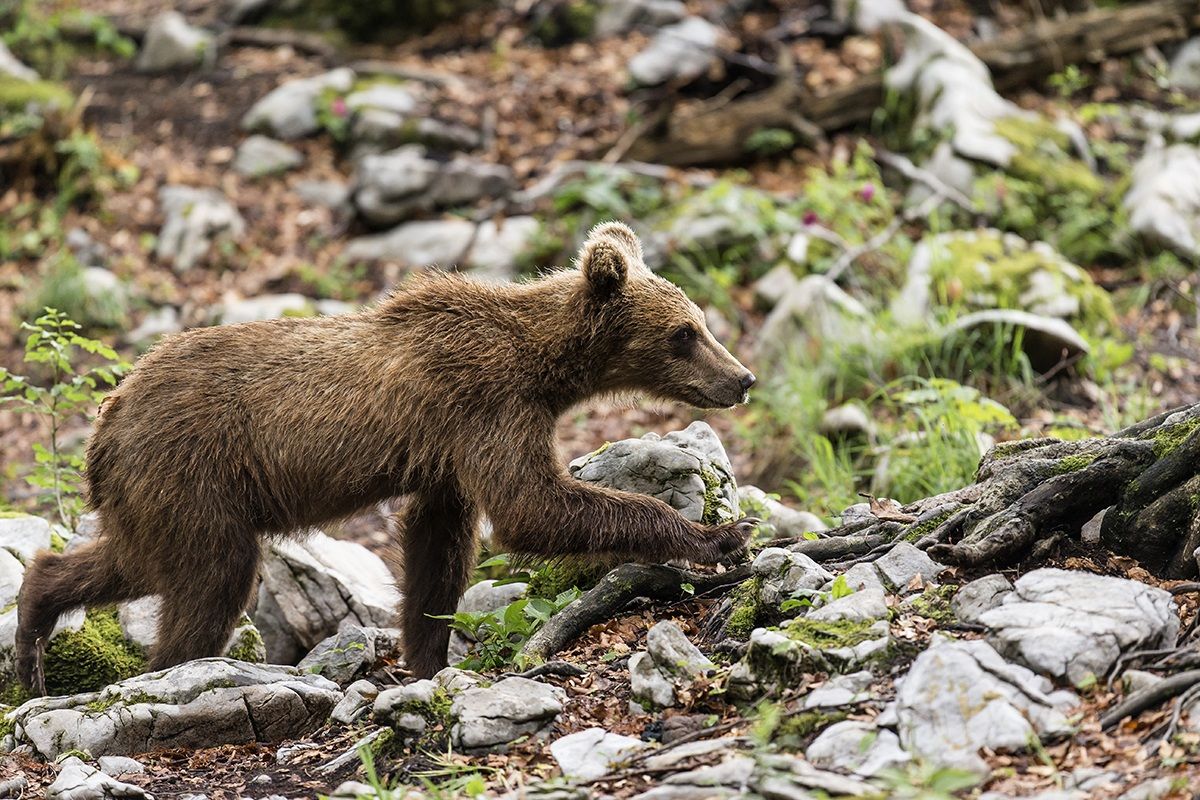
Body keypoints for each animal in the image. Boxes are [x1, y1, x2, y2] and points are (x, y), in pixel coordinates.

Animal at [15, 221, 757, 691]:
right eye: (684, 332)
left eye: (700, 321)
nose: (742, 378)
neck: (542, 367)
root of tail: (107, 421)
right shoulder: (486, 405)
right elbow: (532, 507)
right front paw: (718, 535)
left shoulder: (450, 449)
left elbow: (437, 546)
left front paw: (427, 659)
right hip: (192, 467)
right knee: (211, 576)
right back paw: (169, 665)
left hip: (158, 489)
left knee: (132, 559)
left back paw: (33, 626)